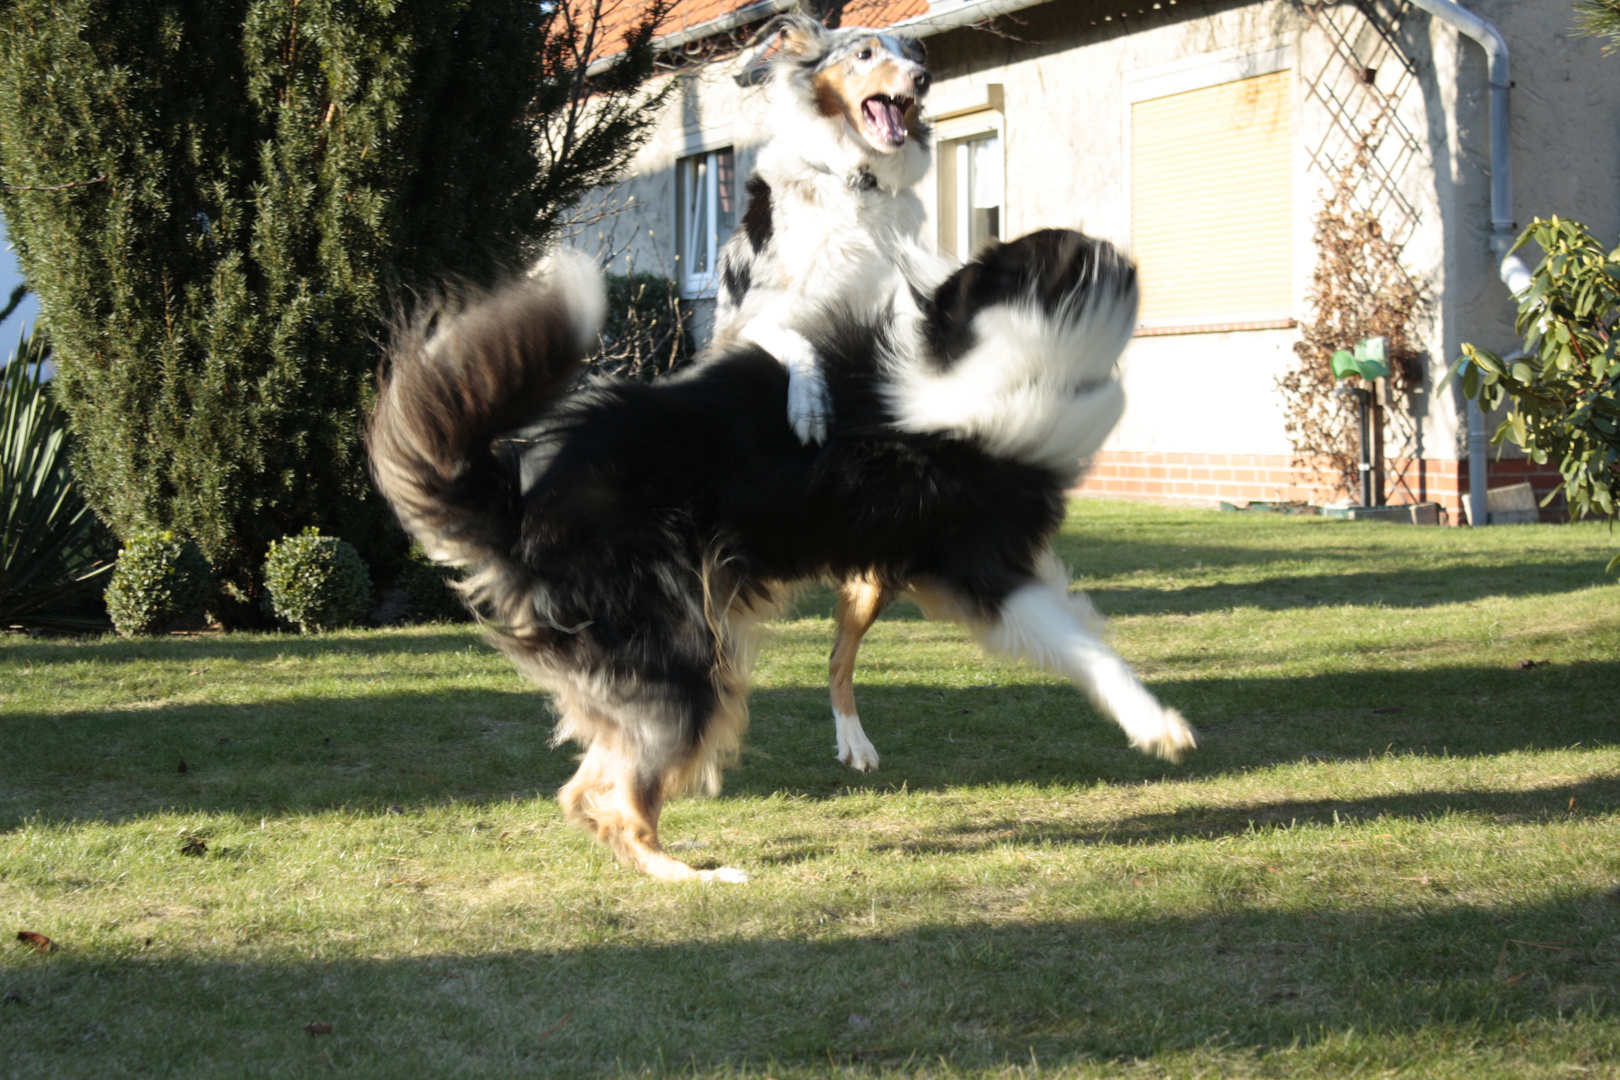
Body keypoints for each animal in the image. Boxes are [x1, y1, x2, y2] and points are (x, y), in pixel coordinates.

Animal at [372, 233, 1198, 880]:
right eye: (1064, 258)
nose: (1122, 255)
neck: (972, 357)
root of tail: (519, 508)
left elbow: (1084, 635)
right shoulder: (982, 567)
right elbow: (1083, 650)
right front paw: (1155, 724)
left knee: (589, 789)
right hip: (679, 653)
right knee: (617, 798)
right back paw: (694, 875)